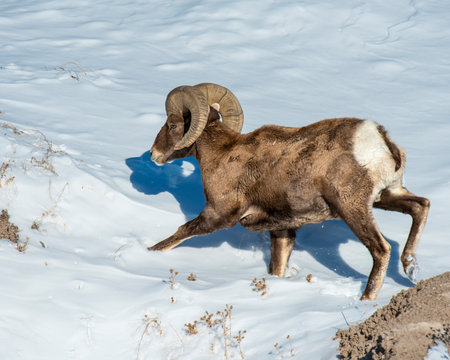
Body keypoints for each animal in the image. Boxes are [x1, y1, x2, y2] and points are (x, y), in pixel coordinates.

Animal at [148, 83, 428, 300]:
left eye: (172, 125)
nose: (154, 154)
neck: (222, 155)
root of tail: (378, 139)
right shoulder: (282, 229)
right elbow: (277, 267)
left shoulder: (218, 216)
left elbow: (179, 234)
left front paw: (147, 254)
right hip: (386, 196)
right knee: (421, 206)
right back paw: (410, 267)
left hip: (353, 208)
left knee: (381, 249)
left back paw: (367, 298)